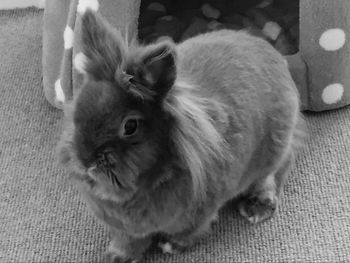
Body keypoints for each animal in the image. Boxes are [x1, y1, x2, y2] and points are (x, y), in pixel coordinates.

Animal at [57, 9, 306, 263]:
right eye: (78, 112)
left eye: (130, 126)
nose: (86, 161)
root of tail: (277, 57)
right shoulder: (126, 230)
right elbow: (129, 243)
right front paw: (116, 258)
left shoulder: (200, 213)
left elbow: (190, 233)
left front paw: (170, 246)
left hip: (274, 150)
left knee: (273, 176)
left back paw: (256, 207)